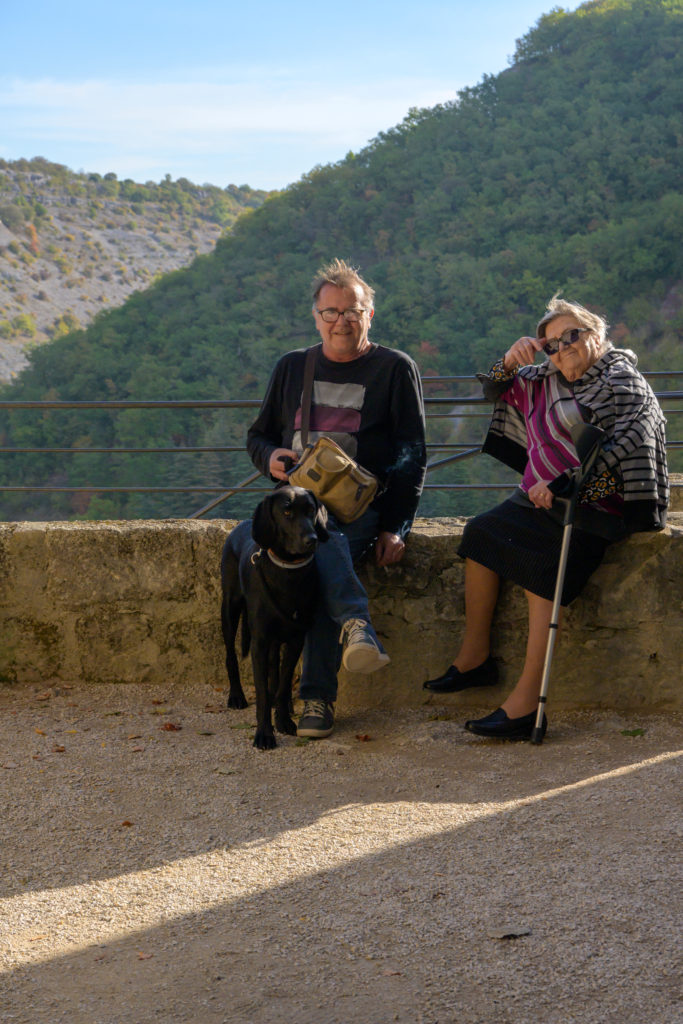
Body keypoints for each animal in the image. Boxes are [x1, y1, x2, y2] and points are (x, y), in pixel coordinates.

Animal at [222, 483, 327, 749]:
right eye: (287, 512)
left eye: (311, 510)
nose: (311, 540)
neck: (287, 571)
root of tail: (242, 523)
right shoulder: (259, 642)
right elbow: (260, 693)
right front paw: (264, 734)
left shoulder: (296, 638)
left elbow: (283, 681)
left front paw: (283, 720)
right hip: (230, 609)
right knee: (230, 655)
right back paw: (236, 695)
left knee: (275, 672)